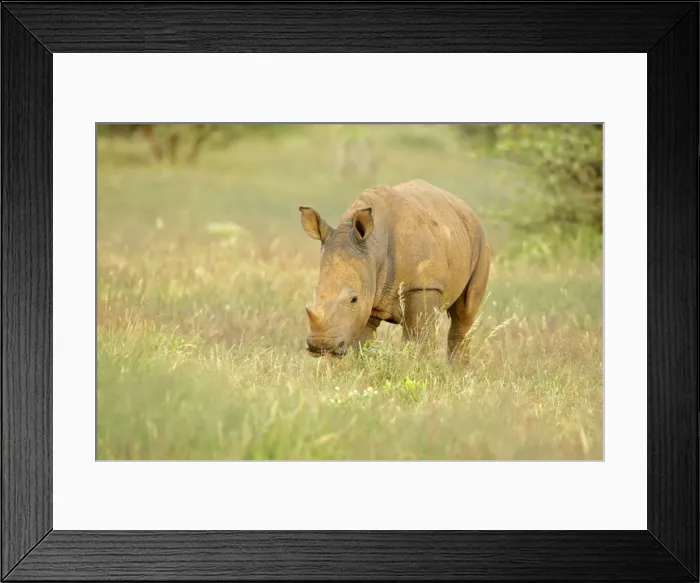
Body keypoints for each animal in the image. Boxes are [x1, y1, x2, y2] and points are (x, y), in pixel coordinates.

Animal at [298, 178, 490, 362]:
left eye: (354, 299)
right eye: (314, 294)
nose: (321, 346)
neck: (373, 248)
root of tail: (465, 206)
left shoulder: (422, 286)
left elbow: (417, 338)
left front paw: (415, 367)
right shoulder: (368, 291)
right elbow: (363, 342)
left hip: (479, 238)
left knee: (464, 314)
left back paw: (457, 370)